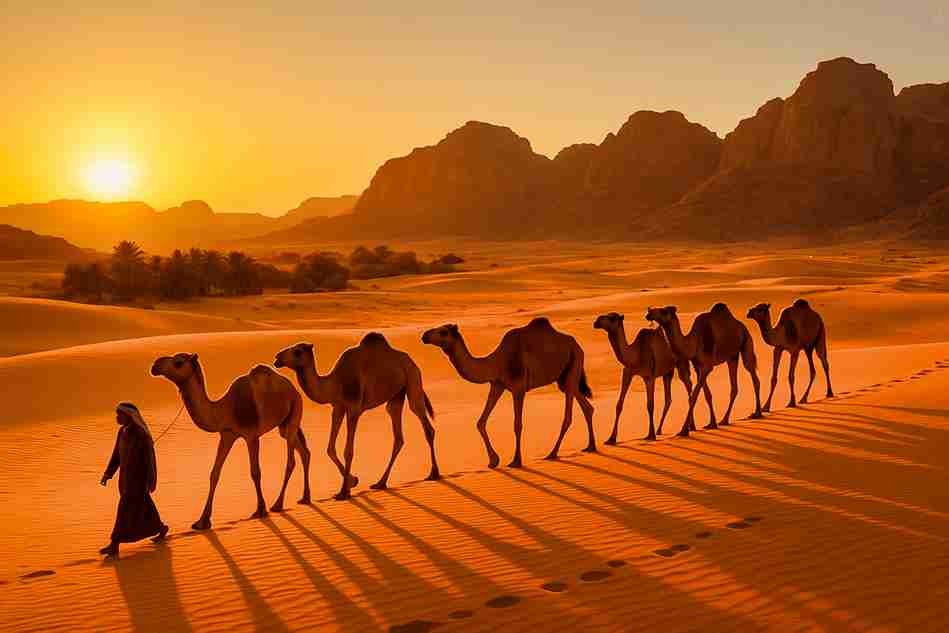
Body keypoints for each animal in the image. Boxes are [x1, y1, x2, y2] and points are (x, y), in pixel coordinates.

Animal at [151, 353, 310, 530]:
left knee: (291, 460)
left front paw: (260, 510)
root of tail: (293, 389)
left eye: (178, 363)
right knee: (304, 452)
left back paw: (277, 504)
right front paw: (202, 521)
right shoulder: (227, 435)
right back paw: (305, 497)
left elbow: (255, 472)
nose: (155, 365)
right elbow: (214, 473)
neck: (225, 409)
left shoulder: (251, 436)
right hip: (284, 425)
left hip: (295, 410)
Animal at [274, 332, 439, 501]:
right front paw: (352, 481)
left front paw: (344, 491)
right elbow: (330, 448)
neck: (335, 382)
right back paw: (380, 483)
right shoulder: (338, 407)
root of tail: (411, 361)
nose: (277, 357)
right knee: (397, 433)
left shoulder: (354, 409)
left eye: (298, 351)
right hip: (396, 395)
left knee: (425, 423)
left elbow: (348, 450)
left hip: (413, 379)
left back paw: (434, 473)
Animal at [421, 317, 595, 467]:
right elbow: (481, 422)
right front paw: (493, 460)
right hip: (564, 377)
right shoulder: (497, 385)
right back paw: (590, 446)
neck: (497, 362)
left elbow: (517, 424)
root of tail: (577, 345)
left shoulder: (518, 389)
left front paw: (516, 460)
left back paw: (552, 453)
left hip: (574, 362)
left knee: (568, 416)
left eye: (443, 332)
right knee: (586, 405)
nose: (424, 336)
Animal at [593, 312, 698, 442]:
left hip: (681, 362)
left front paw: (650, 435)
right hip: (667, 372)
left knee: (688, 385)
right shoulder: (627, 373)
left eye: (612, 318)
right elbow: (619, 404)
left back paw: (691, 426)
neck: (635, 356)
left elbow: (650, 405)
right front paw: (611, 438)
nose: (596, 321)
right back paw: (660, 430)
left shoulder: (649, 377)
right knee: (668, 398)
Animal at [646, 303, 763, 436]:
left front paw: (684, 430)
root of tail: (742, 327)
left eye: (663, 311)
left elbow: (694, 396)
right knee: (734, 387)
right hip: (732, 356)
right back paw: (724, 420)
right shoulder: (698, 366)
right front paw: (712, 423)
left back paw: (757, 413)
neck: (694, 342)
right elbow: (707, 394)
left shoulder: (707, 366)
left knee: (753, 375)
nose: (649, 313)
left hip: (746, 342)